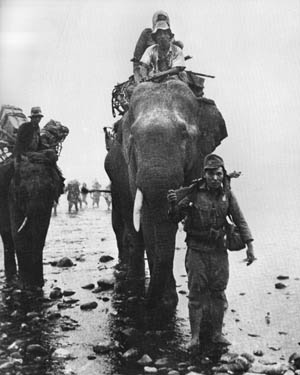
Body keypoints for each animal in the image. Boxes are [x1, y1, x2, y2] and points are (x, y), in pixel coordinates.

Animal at [0, 151, 64, 290]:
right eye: (23, 191)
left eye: (50, 188)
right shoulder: (12, 195)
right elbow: (18, 235)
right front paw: (26, 286)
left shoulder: (48, 204)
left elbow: (41, 234)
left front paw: (37, 284)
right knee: (7, 236)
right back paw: (12, 278)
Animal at [104, 78, 226, 312]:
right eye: (133, 140)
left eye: (185, 135)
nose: (147, 304)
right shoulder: (129, 171)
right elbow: (146, 222)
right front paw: (165, 302)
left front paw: (167, 302)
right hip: (115, 179)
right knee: (126, 224)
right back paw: (130, 276)